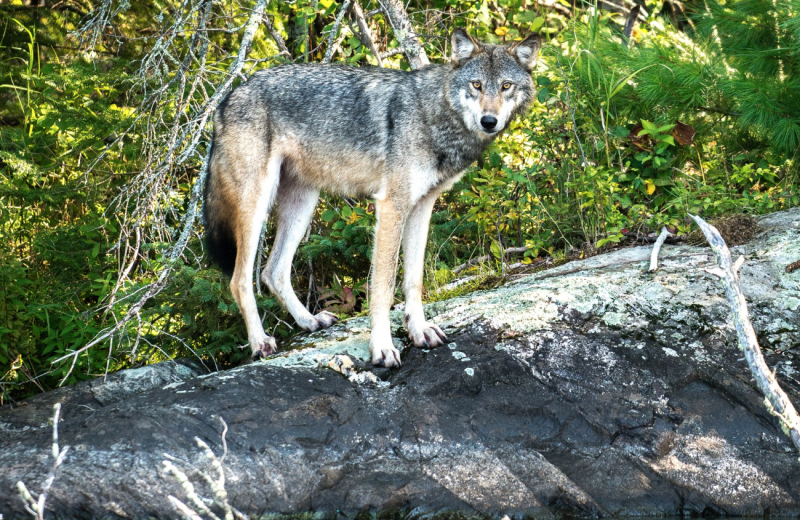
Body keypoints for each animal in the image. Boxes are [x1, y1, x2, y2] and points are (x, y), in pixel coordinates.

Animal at [205, 29, 544, 366]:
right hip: (256, 206)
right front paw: (382, 347)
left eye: (506, 86)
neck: (435, 115)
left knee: (273, 271)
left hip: (302, 207)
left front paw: (419, 331)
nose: (489, 121)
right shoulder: (391, 206)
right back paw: (260, 342)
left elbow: (414, 279)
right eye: (476, 85)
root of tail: (227, 99)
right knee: (239, 279)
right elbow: (384, 286)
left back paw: (309, 321)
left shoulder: (422, 207)